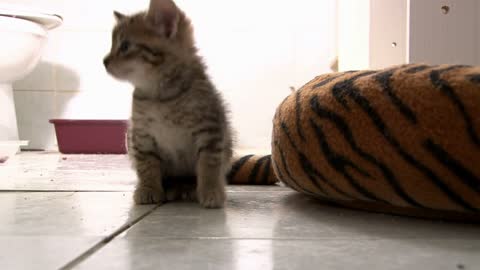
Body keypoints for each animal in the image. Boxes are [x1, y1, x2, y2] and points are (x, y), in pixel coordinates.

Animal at [103, 0, 232, 208]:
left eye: (125, 46)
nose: (104, 61)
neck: (161, 96)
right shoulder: (141, 135)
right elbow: (146, 164)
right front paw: (148, 189)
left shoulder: (209, 131)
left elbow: (209, 164)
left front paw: (211, 191)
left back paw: (189, 188)